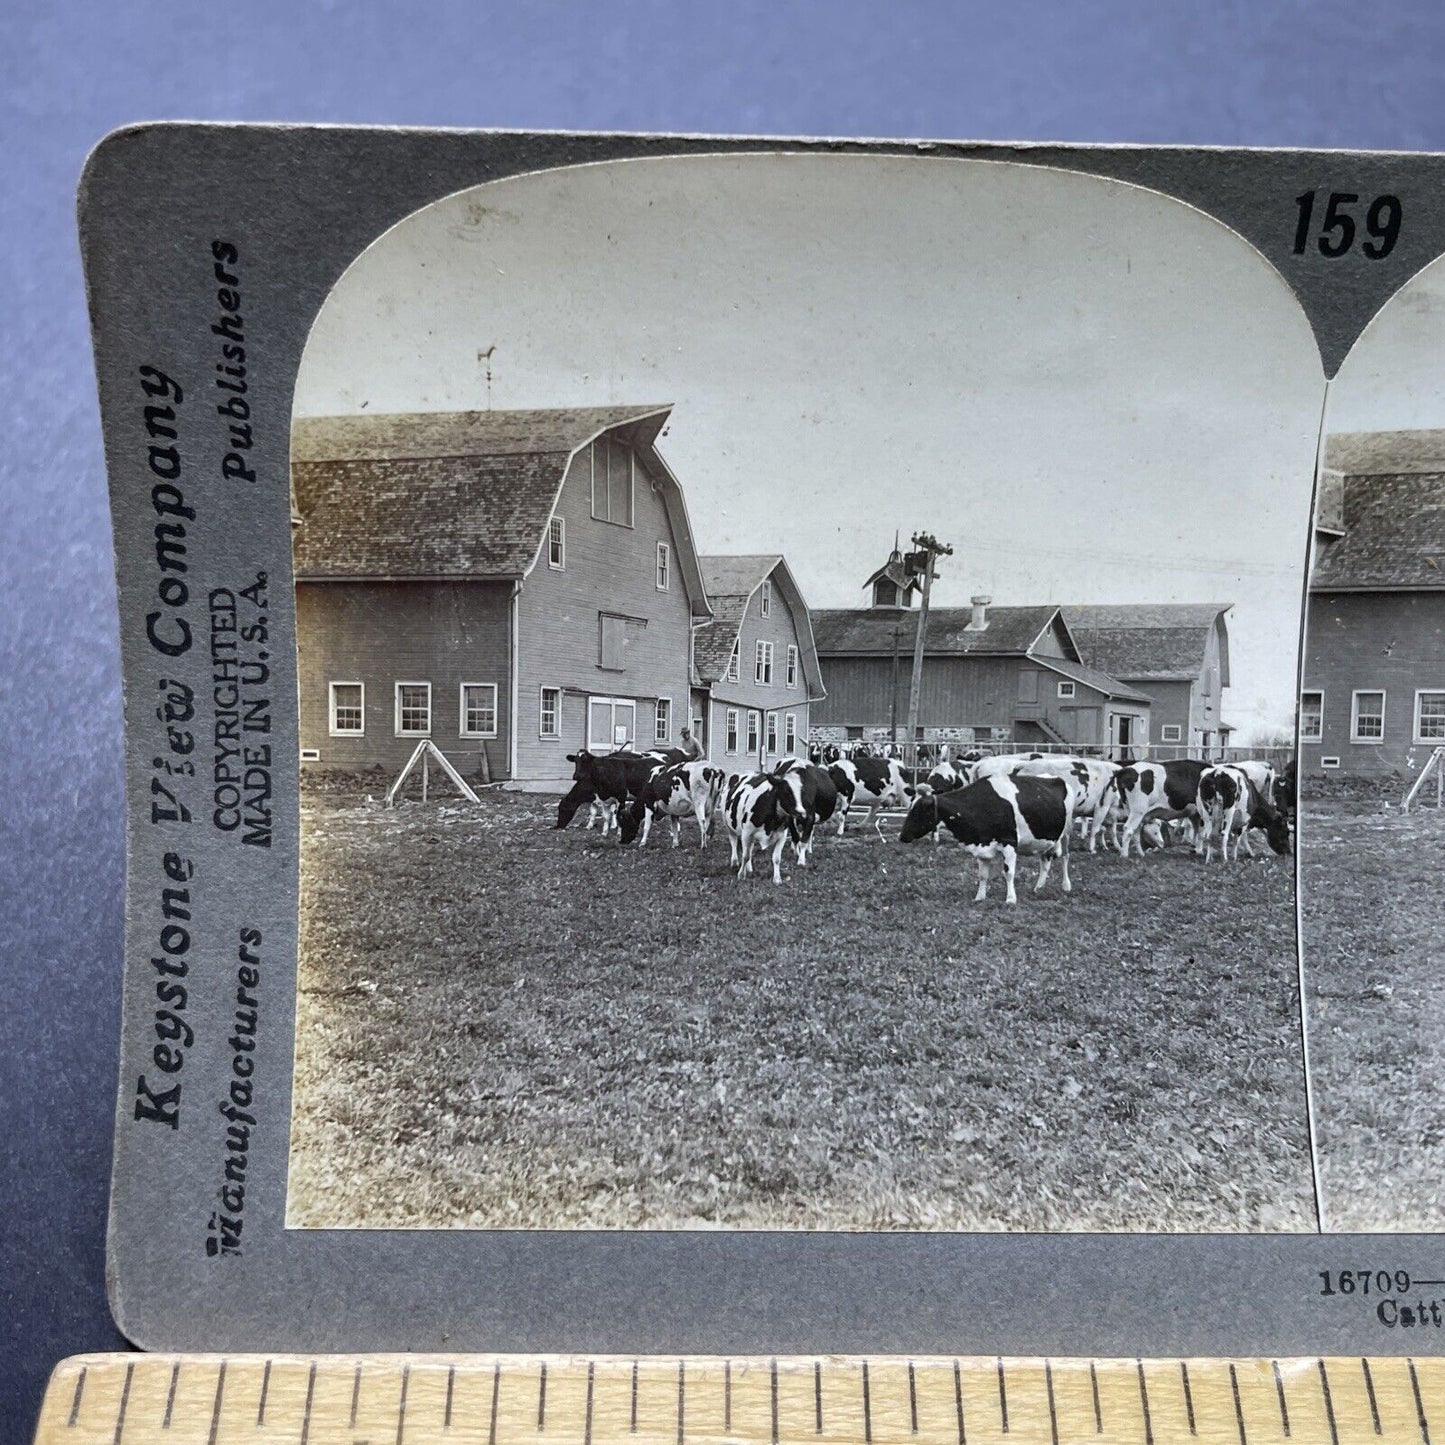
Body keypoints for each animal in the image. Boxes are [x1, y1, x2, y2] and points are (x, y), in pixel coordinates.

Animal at [554, 751, 684, 832]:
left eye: (562, 809)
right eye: (575, 761)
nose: (558, 826)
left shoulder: (615, 796)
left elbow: (614, 811)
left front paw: (614, 826)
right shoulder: (598, 797)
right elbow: (594, 811)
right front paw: (590, 826)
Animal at [901, 768, 1075, 901]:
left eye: (919, 810)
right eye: (910, 806)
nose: (901, 836)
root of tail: (1057, 778)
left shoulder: (1009, 842)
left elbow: (1008, 873)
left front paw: (1010, 899)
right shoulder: (982, 846)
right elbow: (982, 875)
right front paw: (979, 897)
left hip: (1066, 832)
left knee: (1065, 857)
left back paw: (1066, 886)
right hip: (1048, 838)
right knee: (1045, 861)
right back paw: (1038, 888)